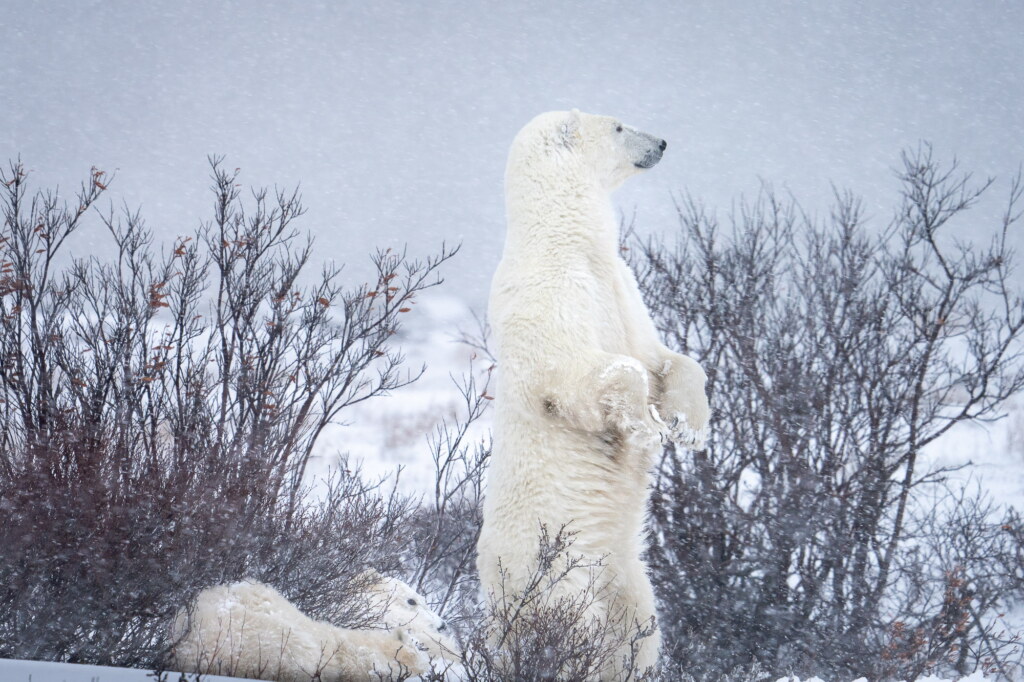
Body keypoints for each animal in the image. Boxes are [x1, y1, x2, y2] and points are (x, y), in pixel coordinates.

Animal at [476, 109, 710, 678]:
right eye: (620, 126)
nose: (663, 142)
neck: (566, 240)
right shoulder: (549, 299)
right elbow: (584, 372)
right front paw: (645, 426)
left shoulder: (622, 288)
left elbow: (663, 358)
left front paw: (689, 428)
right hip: (554, 573)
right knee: (564, 634)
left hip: (627, 574)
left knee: (636, 630)